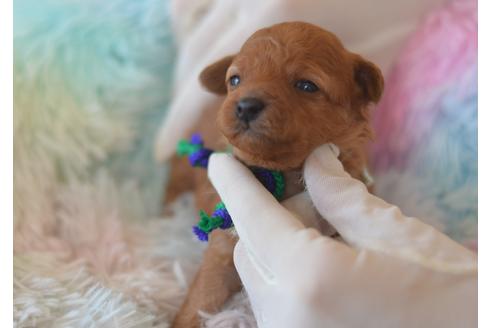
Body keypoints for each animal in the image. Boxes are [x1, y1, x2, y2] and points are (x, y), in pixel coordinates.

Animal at [169, 21, 384, 326]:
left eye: (306, 85)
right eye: (235, 80)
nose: (245, 105)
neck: (280, 171)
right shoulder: (223, 246)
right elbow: (202, 297)